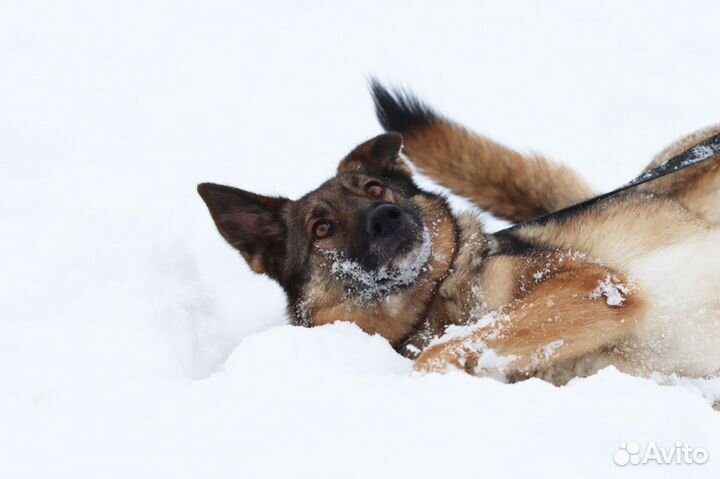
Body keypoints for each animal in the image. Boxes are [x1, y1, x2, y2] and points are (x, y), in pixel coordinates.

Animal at [197, 82, 720, 386]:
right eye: (321, 228)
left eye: (374, 188)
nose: (386, 215)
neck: (433, 302)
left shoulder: (592, 285)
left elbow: (437, 354)